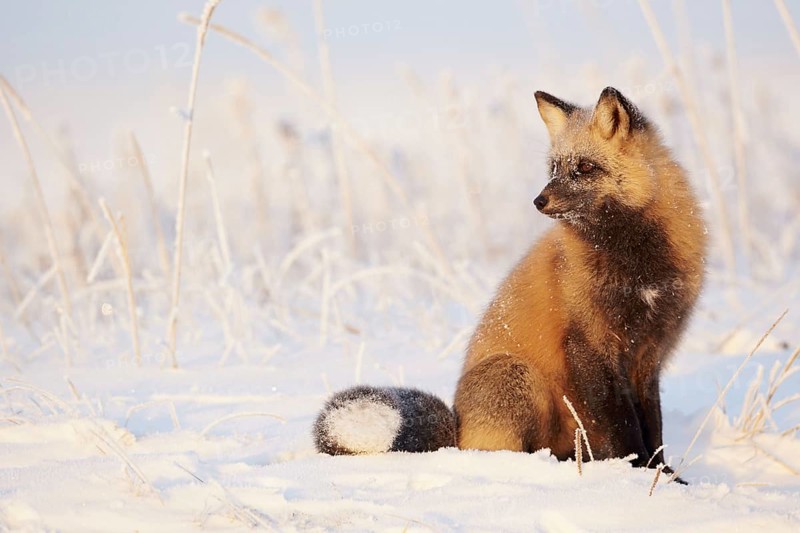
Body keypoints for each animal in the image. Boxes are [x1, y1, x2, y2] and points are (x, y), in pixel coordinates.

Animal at [313, 87, 706, 476]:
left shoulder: (648, 353)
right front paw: (635, 472)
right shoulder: (590, 346)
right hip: (517, 375)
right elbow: (622, 427)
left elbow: (652, 426)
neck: (634, 264)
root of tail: (455, 429)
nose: (539, 200)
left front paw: (663, 474)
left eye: (584, 167)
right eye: (554, 167)